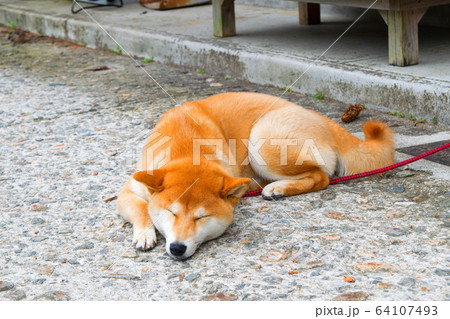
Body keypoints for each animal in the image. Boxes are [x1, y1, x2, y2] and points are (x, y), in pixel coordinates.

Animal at [118, 92, 396, 260]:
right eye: (171, 212)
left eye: (202, 217)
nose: (177, 248)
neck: (187, 146)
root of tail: (324, 119)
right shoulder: (128, 190)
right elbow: (141, 208)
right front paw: (145, 233)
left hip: (261, 141)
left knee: (321, 177)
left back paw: (278, 188)